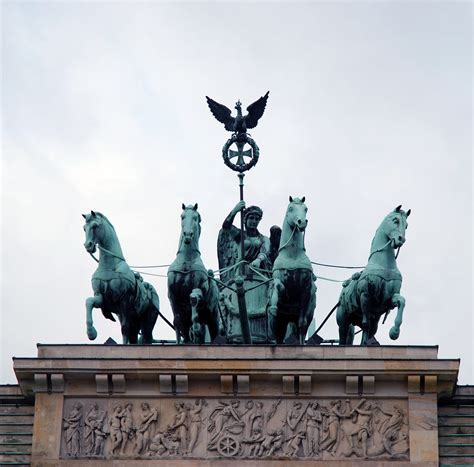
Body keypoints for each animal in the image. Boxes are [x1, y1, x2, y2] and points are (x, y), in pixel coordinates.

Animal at [82, 211, 160, 344]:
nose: (88, 245)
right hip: (135, 321)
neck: (110, 265)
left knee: (145, 335)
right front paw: (91, 333)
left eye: (95, 226)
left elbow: (125, 328)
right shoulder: (101, 298)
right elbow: (89, 302)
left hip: (148, 320)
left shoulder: (124, 300)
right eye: (84, 228)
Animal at [167, 204, 220, 344]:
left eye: (196, 218)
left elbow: (194, 299)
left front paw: (195, 328)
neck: (186, 261)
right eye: (182, 216)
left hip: (213, 317)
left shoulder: (197, 287)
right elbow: (177, 322)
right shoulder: (172, 296)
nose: (187, 235)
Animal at [268, 196, 316, 346]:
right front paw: (274, 304)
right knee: (278, 336)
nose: (302, 222)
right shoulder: (280, 281)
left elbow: (302, 324)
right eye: (290, 208)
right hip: (279, 322)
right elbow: (278, 286)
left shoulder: (306, 289)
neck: (292, 255)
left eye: (306, 208)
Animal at [336, 207, 412, 346]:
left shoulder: (388, 299)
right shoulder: (365, 296)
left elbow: (402, 301)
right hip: (343, 320)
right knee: (344, 335)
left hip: (373, 318)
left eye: (407, 225)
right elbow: (366, 325)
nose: (401, 239)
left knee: (372, 329)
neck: (383, 265)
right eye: (395, 220)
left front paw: (394, 332)